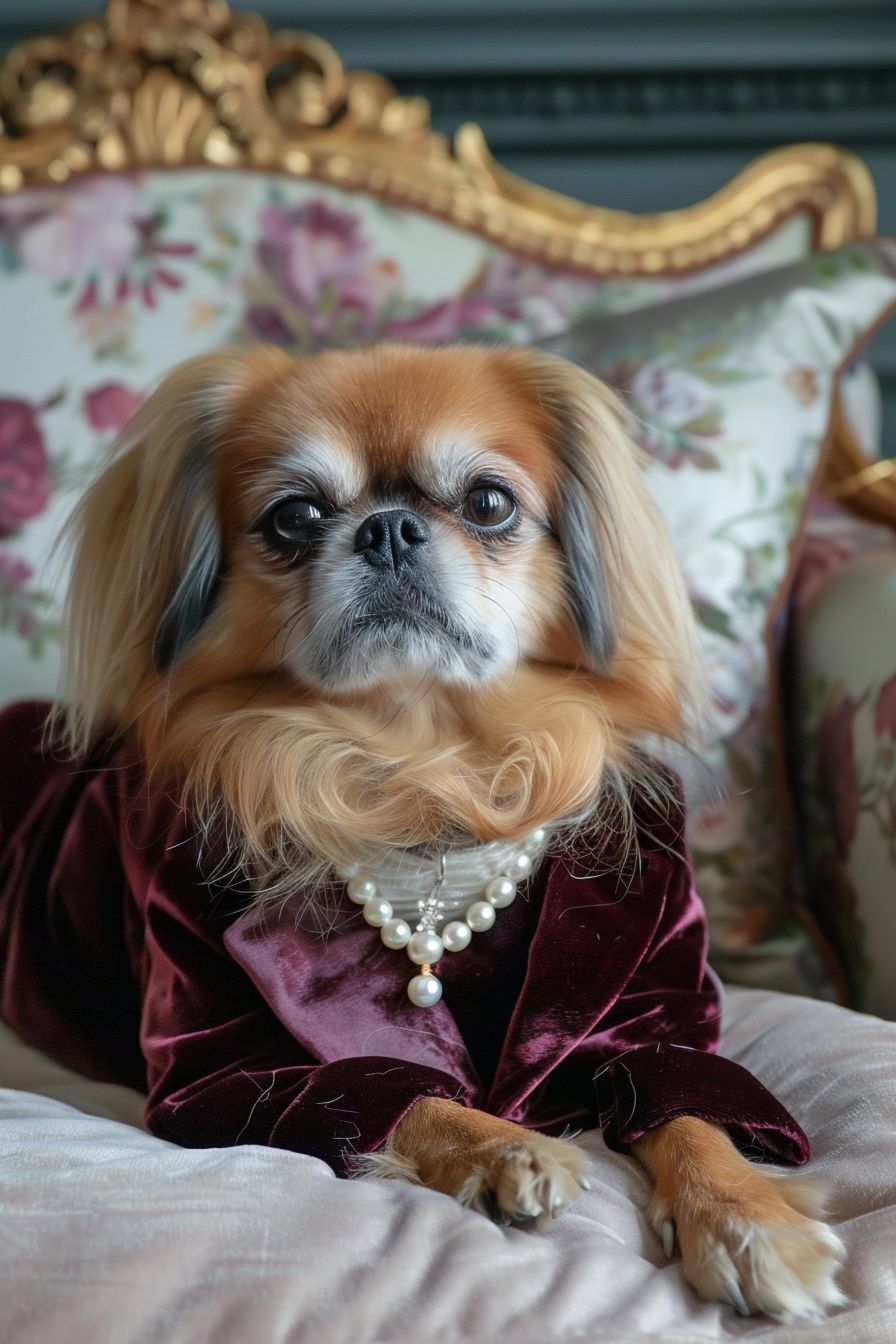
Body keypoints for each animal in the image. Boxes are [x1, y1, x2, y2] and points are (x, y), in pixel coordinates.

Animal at [1, 346, 843, 1322]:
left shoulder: (653, 1022)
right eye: (296, 516)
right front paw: (510, 1149)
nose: (391, 530)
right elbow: (411, 1097)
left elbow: (693, 1114)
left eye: (488, 502)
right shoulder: (233, 1068)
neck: (424, 768)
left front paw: (747, 1222)